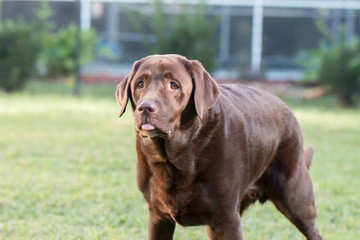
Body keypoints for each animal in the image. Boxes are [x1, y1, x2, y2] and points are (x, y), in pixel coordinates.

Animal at [116, 54, 324, 240]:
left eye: (174, 85)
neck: (176, 157)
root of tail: (288, 109)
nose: (145, 108)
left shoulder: (227, 218)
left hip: (295, 198)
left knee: (313, 231)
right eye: (140, 84)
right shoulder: (159, 217)